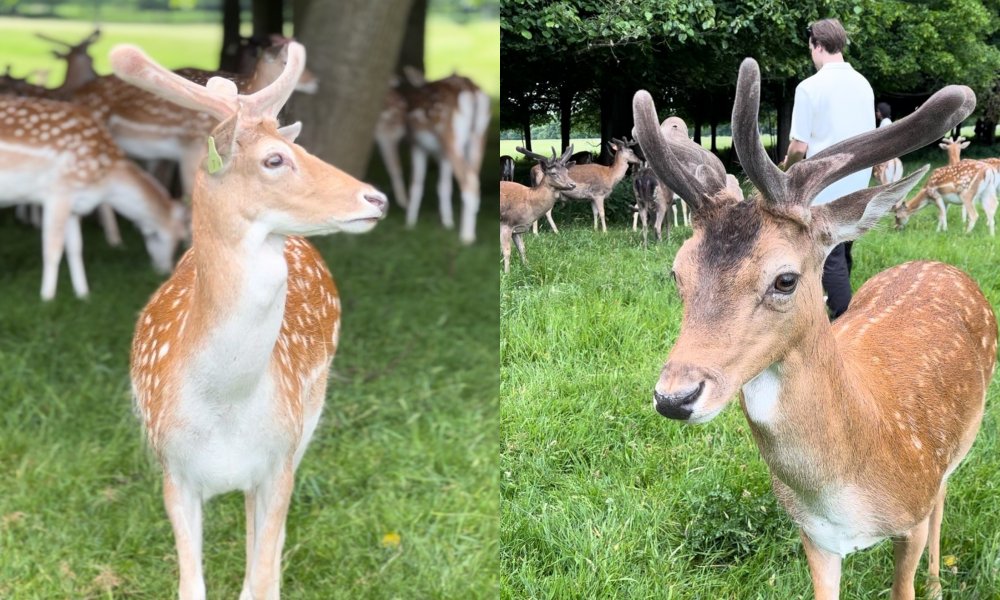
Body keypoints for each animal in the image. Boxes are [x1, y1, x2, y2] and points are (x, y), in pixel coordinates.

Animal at [0, 96, 184, 300]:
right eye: (157, 236)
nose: (165, 271)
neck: (104, 181)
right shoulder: (59, 192)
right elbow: (52, 248)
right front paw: (47, 297)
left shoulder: (75, 204)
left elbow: (75, 247)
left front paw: (83, 294)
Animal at [112, 39, 386, 596]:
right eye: (274, 159)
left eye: (304, 151)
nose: (377, 198)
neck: (225, 407)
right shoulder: (173, 470)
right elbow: (191, 585)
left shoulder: (279, 460)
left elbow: (259, 575)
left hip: (308, 419)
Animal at [636, 57, 996, 600]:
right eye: (677, 271)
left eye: (785, 279)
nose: (674, 396)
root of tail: (939, 264)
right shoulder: (815, 536)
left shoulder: (911, 512)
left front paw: (926, 584)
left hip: (960, 444)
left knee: (943, 497)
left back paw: (937, 581)